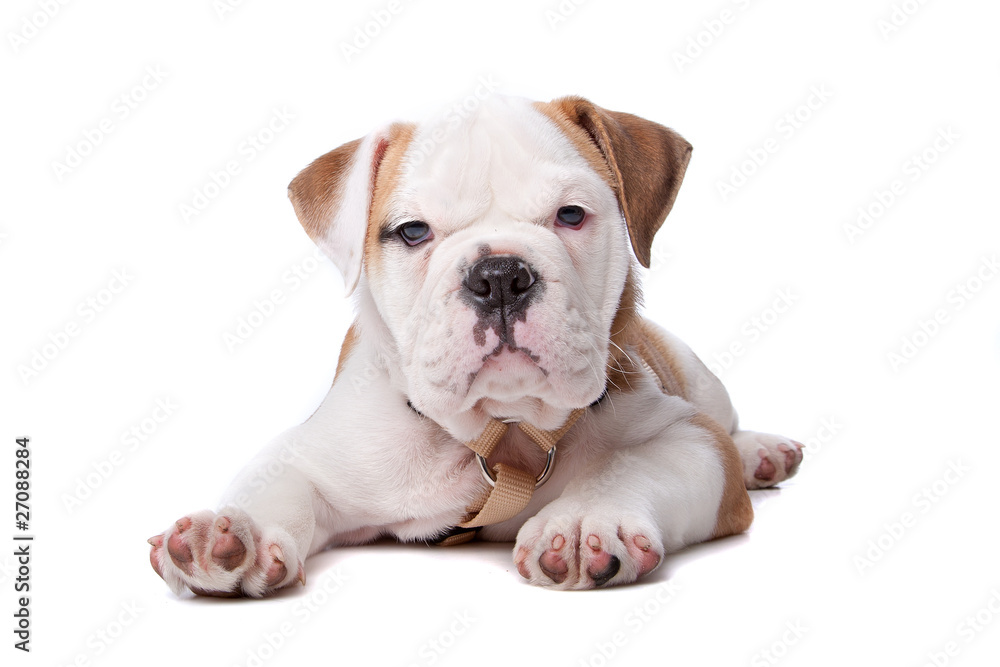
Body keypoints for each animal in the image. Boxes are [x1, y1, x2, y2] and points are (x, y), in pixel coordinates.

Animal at [148, 92, 804, 596]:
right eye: (413, 232)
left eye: (571, 215)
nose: (500, 275)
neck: (502, 430)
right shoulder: (313, 452)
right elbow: (276, 487)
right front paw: (238, 534)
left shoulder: (690, 439)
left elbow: (635, 464)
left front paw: (586, 519)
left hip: (697, 377)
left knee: (727, 422)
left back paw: (761, 452)